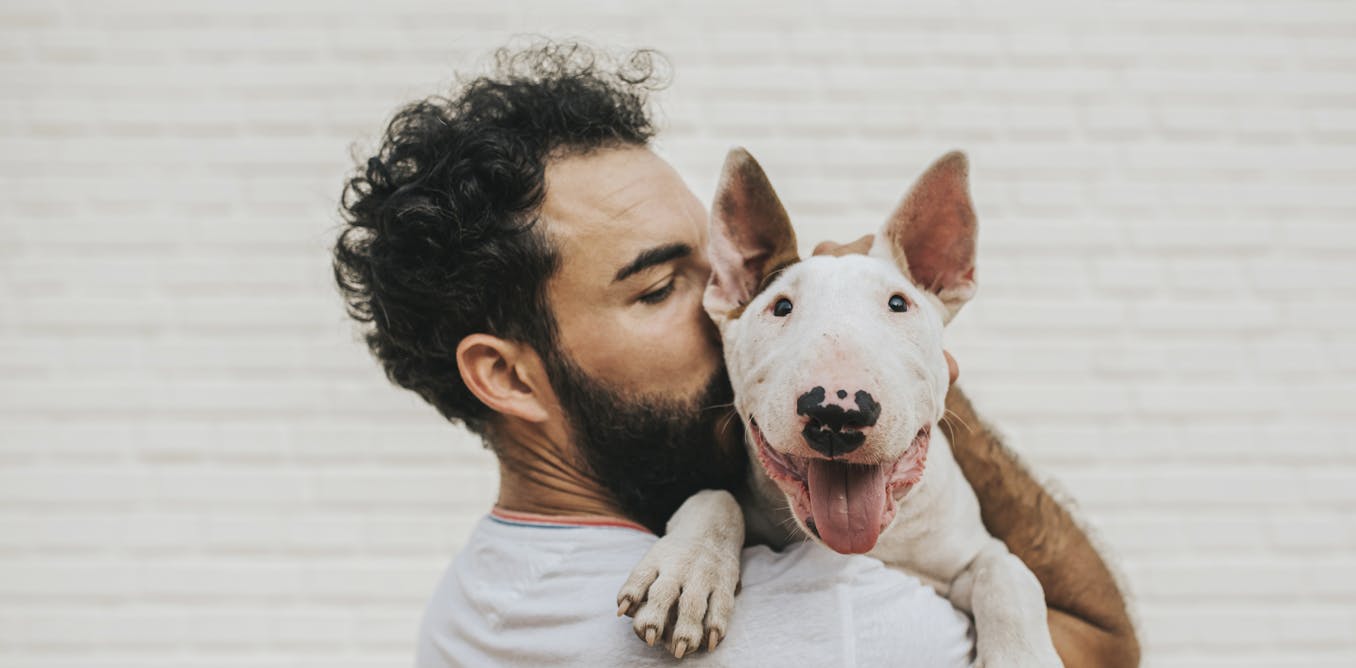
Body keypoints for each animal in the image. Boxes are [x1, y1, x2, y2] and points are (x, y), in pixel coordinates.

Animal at [618, 148, 1068, 663]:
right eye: (781, 307)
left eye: (899, 303)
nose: (837, 412)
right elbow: (715, 495)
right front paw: (687, 572)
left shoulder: (971, 552)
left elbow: (1009, 572)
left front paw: (1022, 657)